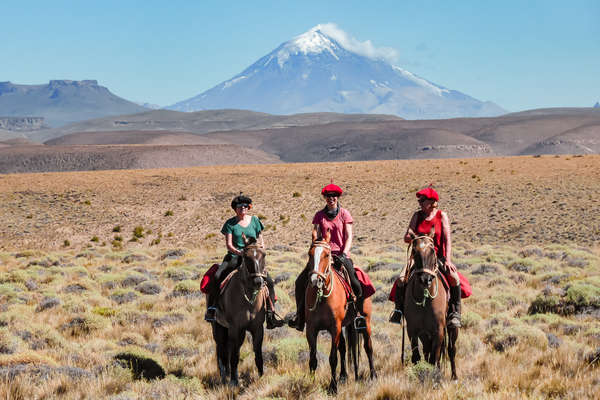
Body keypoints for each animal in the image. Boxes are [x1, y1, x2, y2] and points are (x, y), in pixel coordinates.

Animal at [211, 236, 268, 386]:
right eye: (246, 257)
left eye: (264, 255)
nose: (258, 281)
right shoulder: (235, 328)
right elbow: (235, 356)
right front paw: (233, 381)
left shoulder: (257, 328)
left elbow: (258, 353)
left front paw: (261, 377)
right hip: (218, 327)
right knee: (221, 349)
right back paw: (225, 376)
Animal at [304, 230, 376, 396]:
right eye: (310, 254)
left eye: (326, 254)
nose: (315, 281)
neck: (322, 296)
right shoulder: (311, 329)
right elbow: (313, 359)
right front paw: (311, 385)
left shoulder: (334, 327)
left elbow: (332, 358)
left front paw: (333, 387)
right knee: (343, 348)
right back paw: (343, 376)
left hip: (365, 322)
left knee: (368, 347)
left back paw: (373, 375)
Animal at [404, 230, 460, 380]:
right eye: (414, 251)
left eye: (432, 251)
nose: (425, 279)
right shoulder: (413, 331)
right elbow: (417, 357)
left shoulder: (438, 331)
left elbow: (435, 358)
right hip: (425, 335)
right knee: (427, 352)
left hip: (451, 328)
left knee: (451, 350)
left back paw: (454, 376)